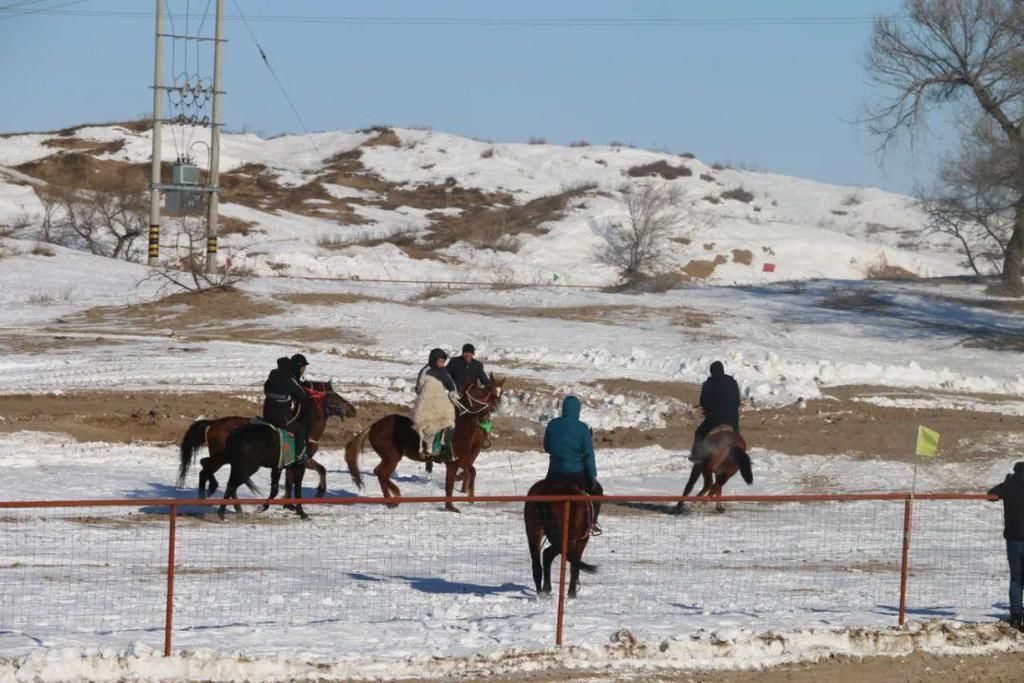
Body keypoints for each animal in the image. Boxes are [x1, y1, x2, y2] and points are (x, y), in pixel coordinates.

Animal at [180, 382, 360, 499]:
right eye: (333, 397)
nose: (353, 409)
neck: (304, 426)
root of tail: (213, 423)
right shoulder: (301, 459)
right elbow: (319, 470)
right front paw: (319, 492)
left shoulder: (295, 462)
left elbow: (311, 473)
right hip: (225, 458)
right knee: (207, 468)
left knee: (205, 464)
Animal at [344, 374, 503, 511]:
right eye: (480, 393)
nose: (496, 404)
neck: (460, 428)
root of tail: (373, 426)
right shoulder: (452, 463)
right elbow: (449, 485)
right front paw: (450, 507)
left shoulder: (461, 460)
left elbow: (471, 471)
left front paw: (470, 497)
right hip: (392, 457)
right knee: (381, 473)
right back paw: (395, 495)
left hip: (389, 457)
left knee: (379, 473)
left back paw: (390, 501)